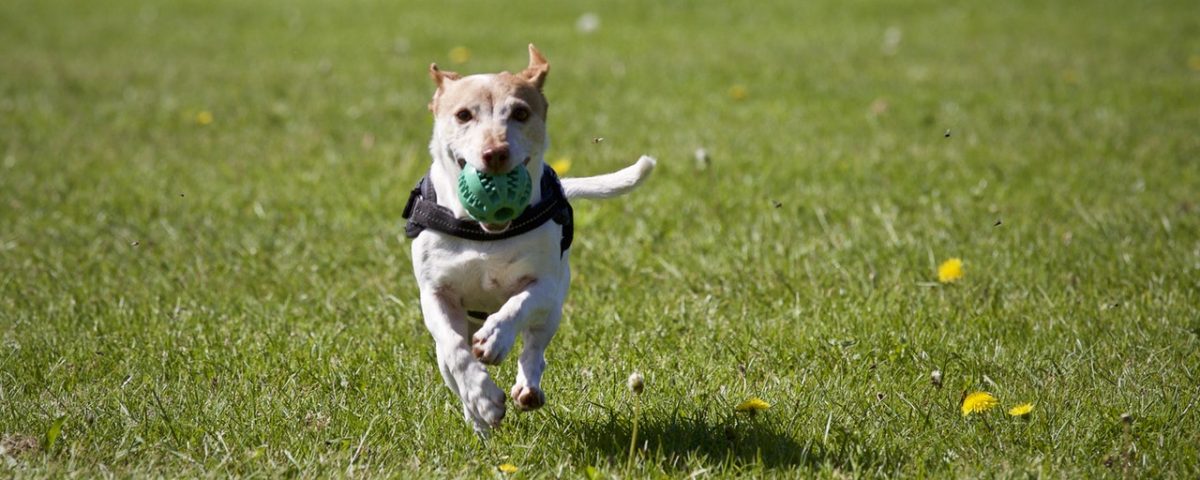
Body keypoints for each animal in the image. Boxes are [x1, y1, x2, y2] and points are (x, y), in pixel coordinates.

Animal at [405, 45, 657, 434]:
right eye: (463, 115)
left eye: (520, 113)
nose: (495, 153)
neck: (485, 234)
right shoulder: (435, 294)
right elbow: (455, 350)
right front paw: (483, 398)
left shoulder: (546, 285)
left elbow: (518, 305)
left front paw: (495, 338)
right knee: (451, 362)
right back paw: (478, 420)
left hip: (553, 310)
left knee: (535, 347)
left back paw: (527, 386)